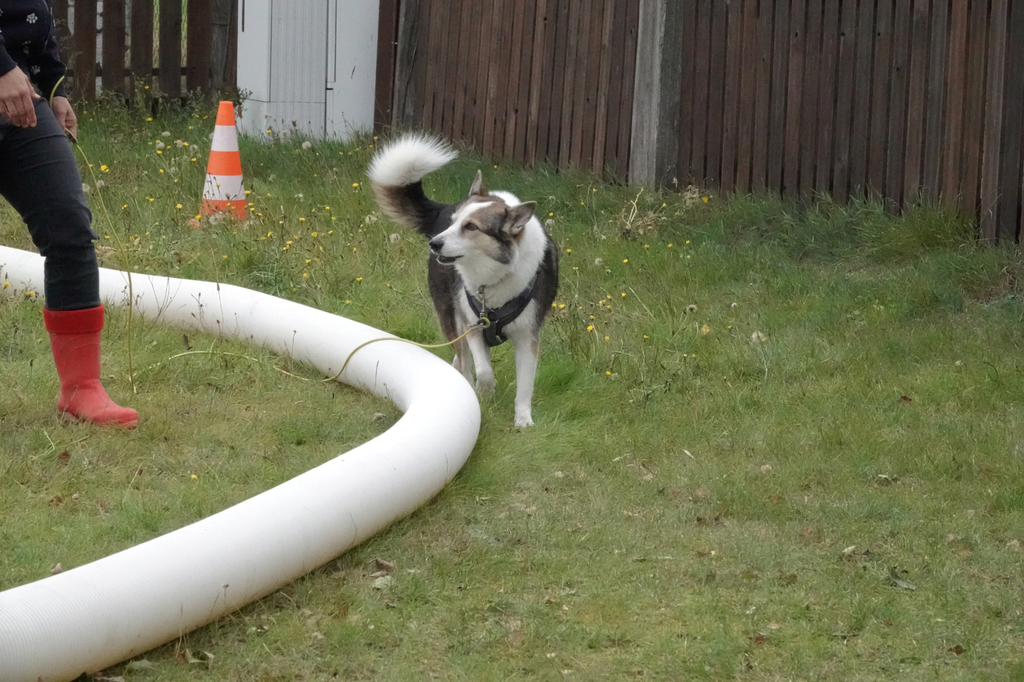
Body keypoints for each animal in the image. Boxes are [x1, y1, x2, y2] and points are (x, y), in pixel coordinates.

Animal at [368, 134, 559, 427]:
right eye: (455, 222)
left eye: (472, 227)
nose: (435, 243)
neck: (493, 277)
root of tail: (442, 209)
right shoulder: (473, 325)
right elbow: (484, 370)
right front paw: (484, 391)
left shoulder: (528, 337)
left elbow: (525, 383)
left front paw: (523, 419)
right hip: (450, 315)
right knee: (463, 359)